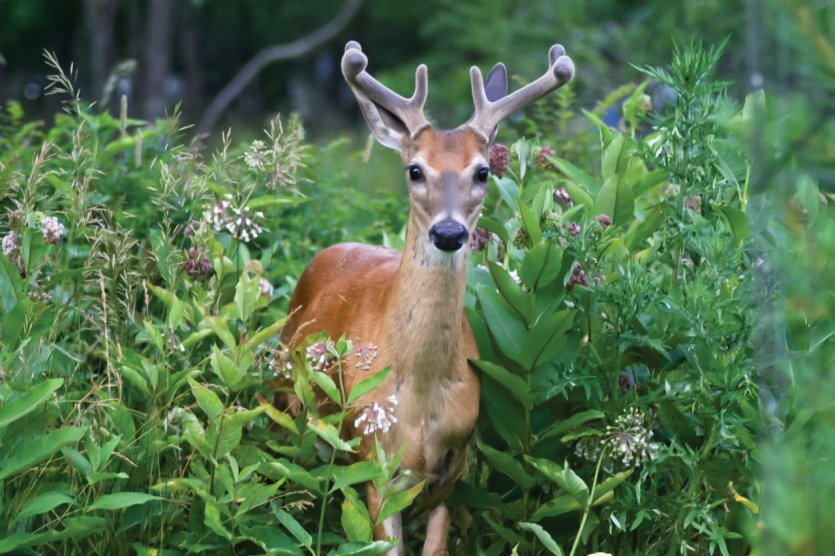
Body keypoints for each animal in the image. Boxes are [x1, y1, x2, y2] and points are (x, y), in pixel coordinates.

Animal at [280, 41, 576, 552]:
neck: (418, 394)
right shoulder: (376, 463)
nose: (449, 232)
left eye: (483, 172)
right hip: (283, 397)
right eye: (415, 169)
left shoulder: (450, 473)